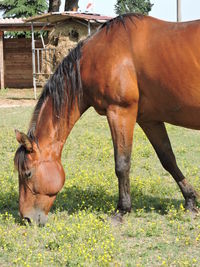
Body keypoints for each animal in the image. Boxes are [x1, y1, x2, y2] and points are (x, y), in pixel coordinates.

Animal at [14, 13, 198, 225]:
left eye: (27, 173)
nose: (27, 218)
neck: (96, 56)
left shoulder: (120, 112)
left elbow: (122, 164)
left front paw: (122, 210)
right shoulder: (149, 120)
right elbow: (168, 158)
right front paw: (190, 200)